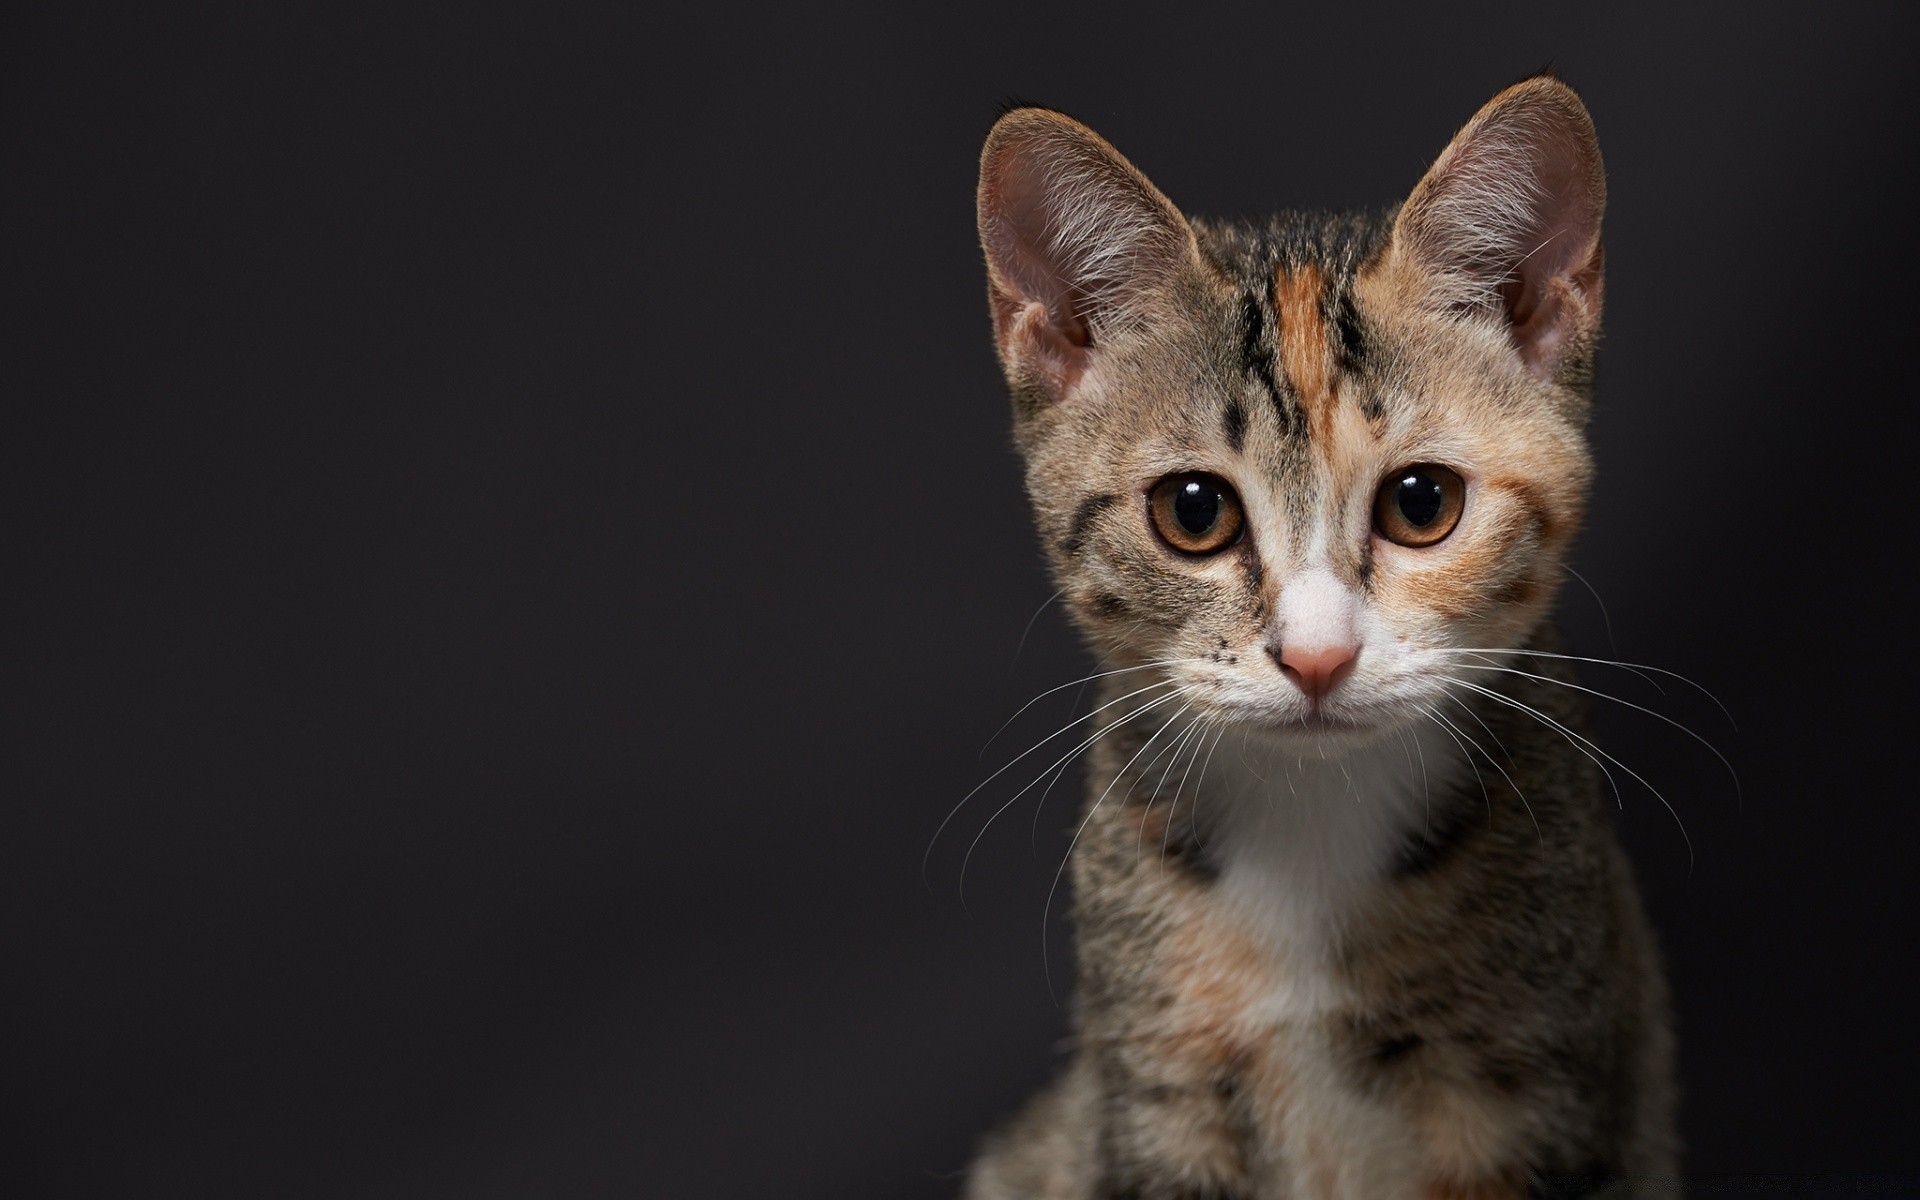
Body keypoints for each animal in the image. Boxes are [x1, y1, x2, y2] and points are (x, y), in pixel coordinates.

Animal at [967, 77, 1674, 1198]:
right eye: (1195, 511)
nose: (1316, 656)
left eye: (1423, 502)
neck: (1311, 829)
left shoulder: (1543, 1083)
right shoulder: (1152, 1092)